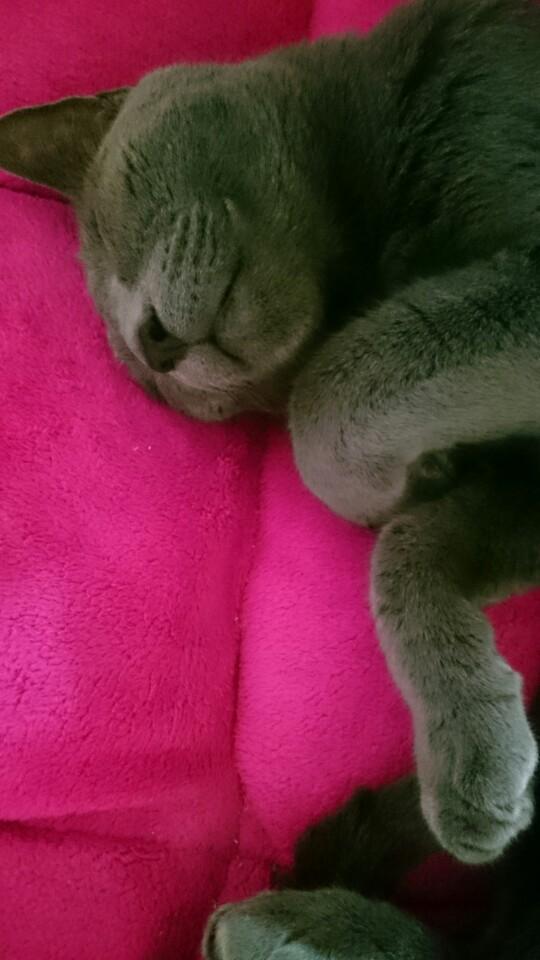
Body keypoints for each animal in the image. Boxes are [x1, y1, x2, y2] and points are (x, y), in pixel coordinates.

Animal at [2, 0, 540, 864]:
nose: (153, 344)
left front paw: (376, 484)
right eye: (148, 384)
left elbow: (330, 392)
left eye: (121, 203)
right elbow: (405, 551)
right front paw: (474, 761)